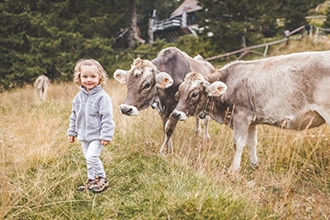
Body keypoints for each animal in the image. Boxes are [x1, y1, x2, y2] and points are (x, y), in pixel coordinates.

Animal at [164, 49, 330, 174]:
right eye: (180, 91)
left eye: (194, 94)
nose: (176, 114)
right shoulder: (252, 121)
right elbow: (252, 143)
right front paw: (254, 165)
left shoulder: (241, 117)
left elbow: (238, 143)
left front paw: (233, 170)